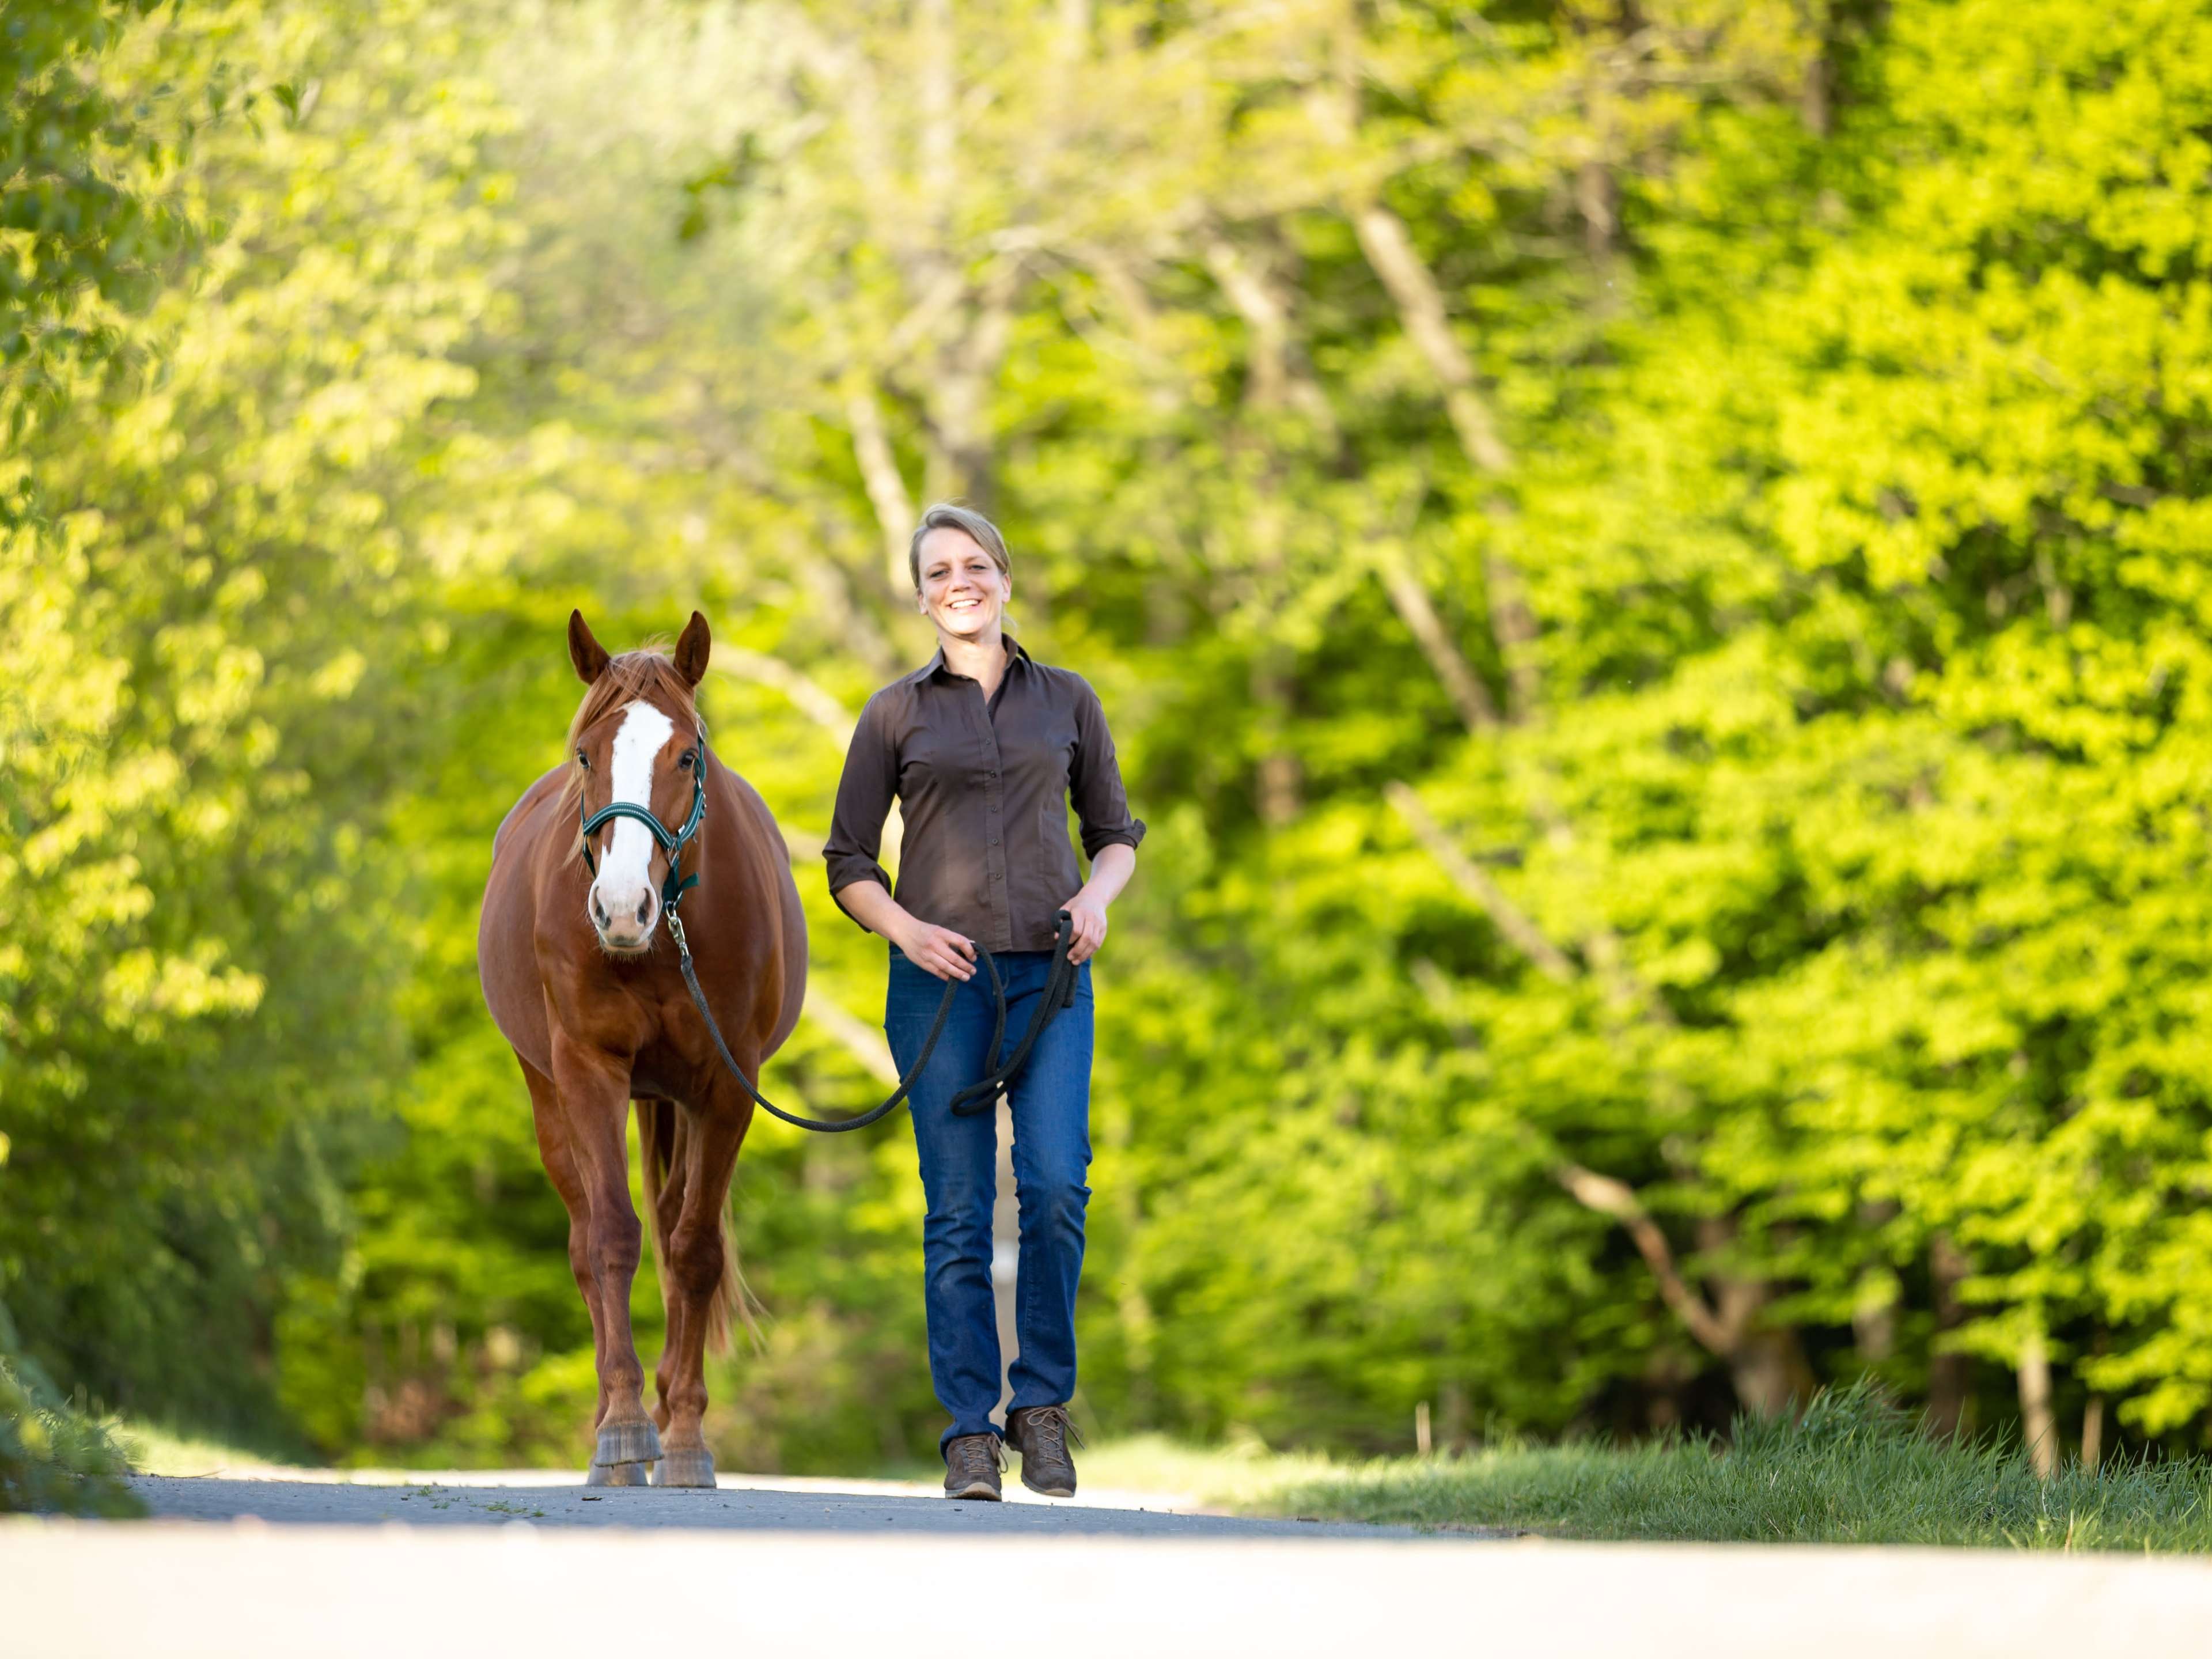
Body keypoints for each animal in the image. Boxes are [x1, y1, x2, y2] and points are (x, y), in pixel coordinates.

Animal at [478, 609, 805, 1487]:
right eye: (586, 755)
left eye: (687, 754)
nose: (622, 907)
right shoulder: (589, 1071)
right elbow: (613, 1240)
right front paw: (624, 1429)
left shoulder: (727, 1087)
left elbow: (692, 1252)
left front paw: (685, 1433)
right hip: (548, 1093)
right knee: (587, 1241)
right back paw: (611, 1417)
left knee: (673, 1225)